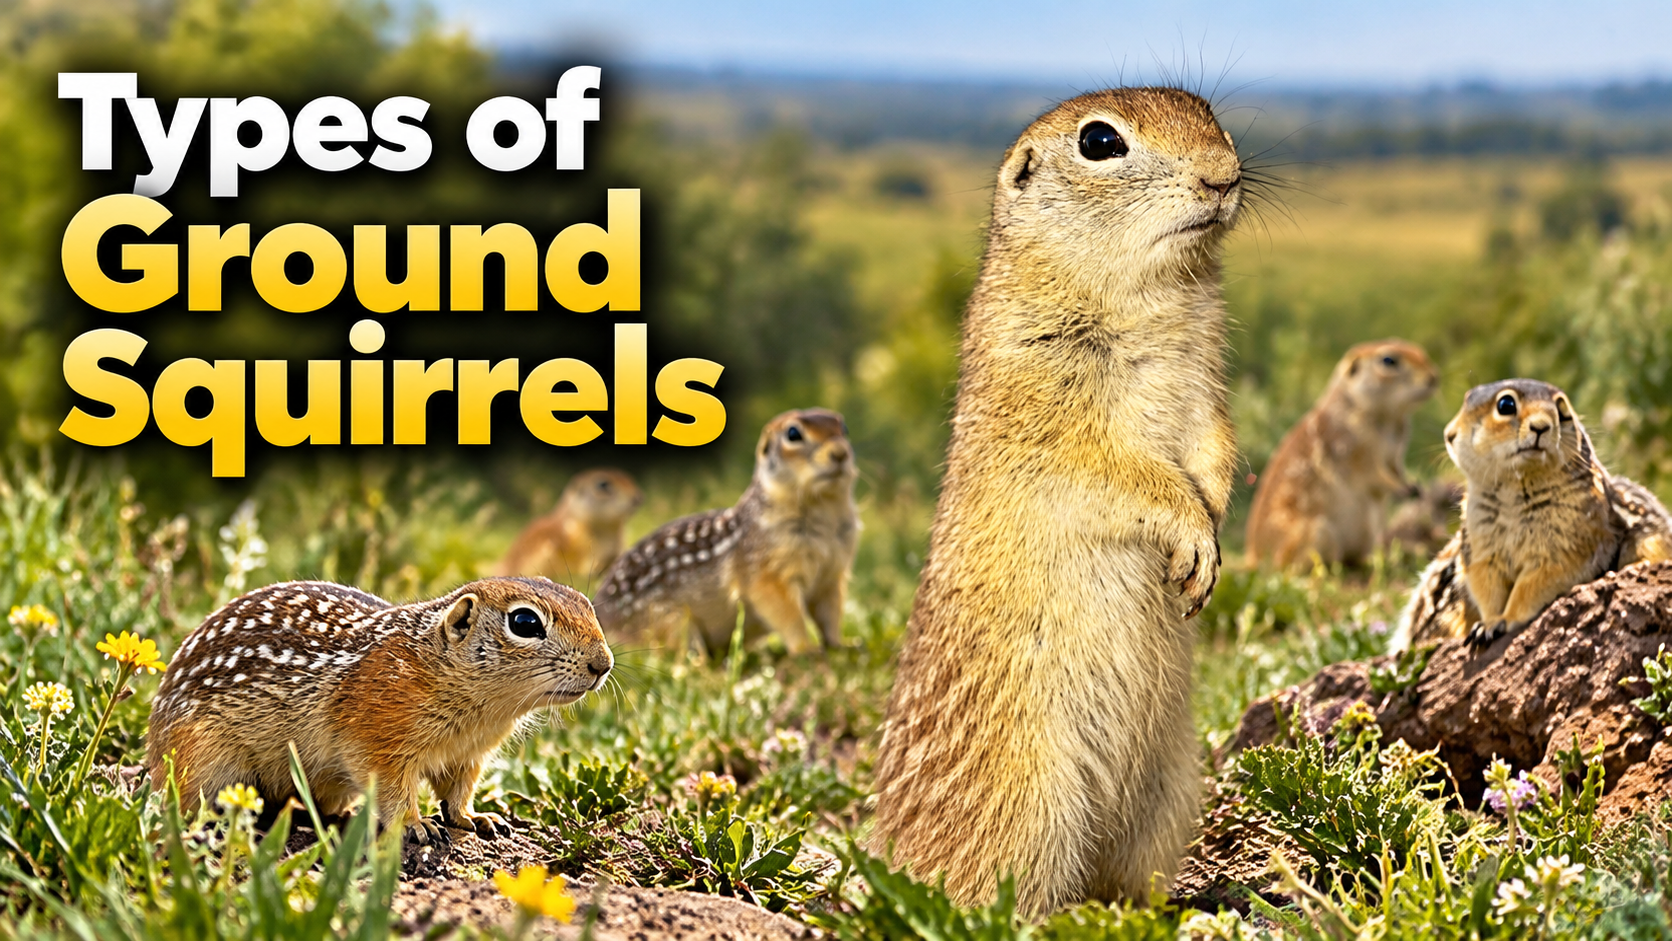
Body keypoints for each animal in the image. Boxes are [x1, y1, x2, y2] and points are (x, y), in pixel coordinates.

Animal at [146, 577, 613, 843]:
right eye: (525, 623)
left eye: (587, 605)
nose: (603, 664)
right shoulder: (378, 741)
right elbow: (392, 789)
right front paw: (415, 825)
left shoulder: (468, 756)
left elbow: (458, 793)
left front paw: (476, 818)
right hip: (202, 760)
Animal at [592, 408, 858, 657]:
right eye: (793, 434)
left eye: (844, 428)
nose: (840, 453)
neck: (824, 508)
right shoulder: (767, 572)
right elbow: (787, 613)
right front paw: (806, 649)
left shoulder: (833, 575)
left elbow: (830, 612)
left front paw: (841, 644)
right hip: (672, 622)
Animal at [868, 88, 1242, 916]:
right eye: (1100, 141)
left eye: (1211, 112)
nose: (1225, 175)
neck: (1156, 295)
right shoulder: (1053, 410)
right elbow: (1124, 474)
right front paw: (1194, 538)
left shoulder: (1205, 385)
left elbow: (1214, 446)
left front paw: (1215, 528)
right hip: (1030, 796)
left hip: (1172, 792)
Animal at [1245, 339, 1439, 570]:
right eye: (1388, 360)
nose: (1434, 378)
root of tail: (1253, 556)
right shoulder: (1355, 446)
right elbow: (1374, 474)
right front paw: (1402, 489)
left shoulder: (1395, 452)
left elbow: (1395, 469)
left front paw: (1416, 487)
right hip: (1318, 533)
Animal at [1390, 379, 1672, 652]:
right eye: (1505, 405)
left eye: (1563, 411)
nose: (1541, 427)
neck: (1517, 490)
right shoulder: (1481, 548)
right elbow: (1487, 588)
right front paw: (1488, 624)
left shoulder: (1569, 544)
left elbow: (1533, 585)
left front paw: (1505, 620)